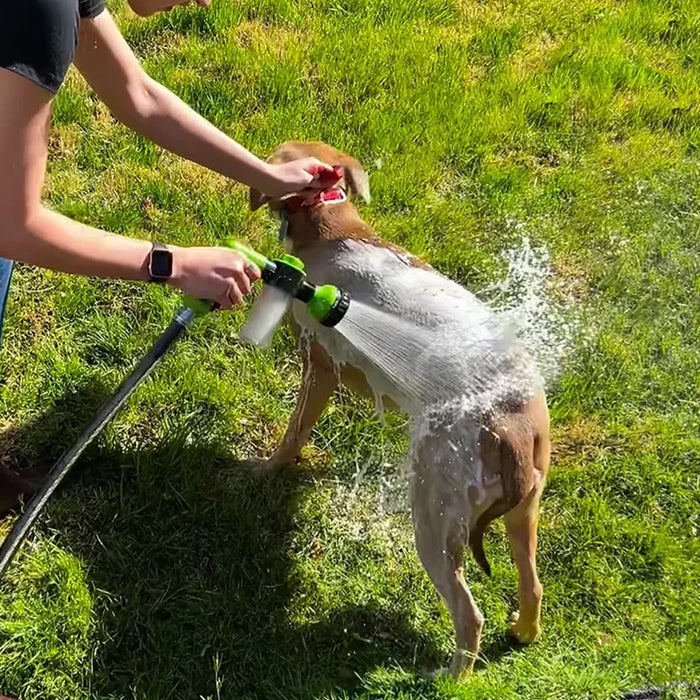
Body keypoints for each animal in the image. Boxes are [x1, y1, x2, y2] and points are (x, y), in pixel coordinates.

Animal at [249, 141, 548, 680]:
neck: (333, 227)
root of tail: (511, 429)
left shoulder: (319, 366)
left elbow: (294, 434)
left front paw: (265, 469)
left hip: (435, 518)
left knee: (469, 613)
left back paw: (450, 677)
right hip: (524, 510)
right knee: (532, 584)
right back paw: (522, 632)